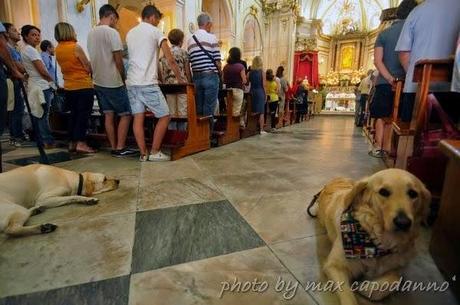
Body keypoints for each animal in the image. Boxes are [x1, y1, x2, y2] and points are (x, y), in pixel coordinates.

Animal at [310, 167, 432, 304]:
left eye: (412, 193)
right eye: (383, 192)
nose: (403, 223)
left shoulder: (398, 264)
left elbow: (396, 277)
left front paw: (368, 287)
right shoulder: (334, 266)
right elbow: (349, 297)